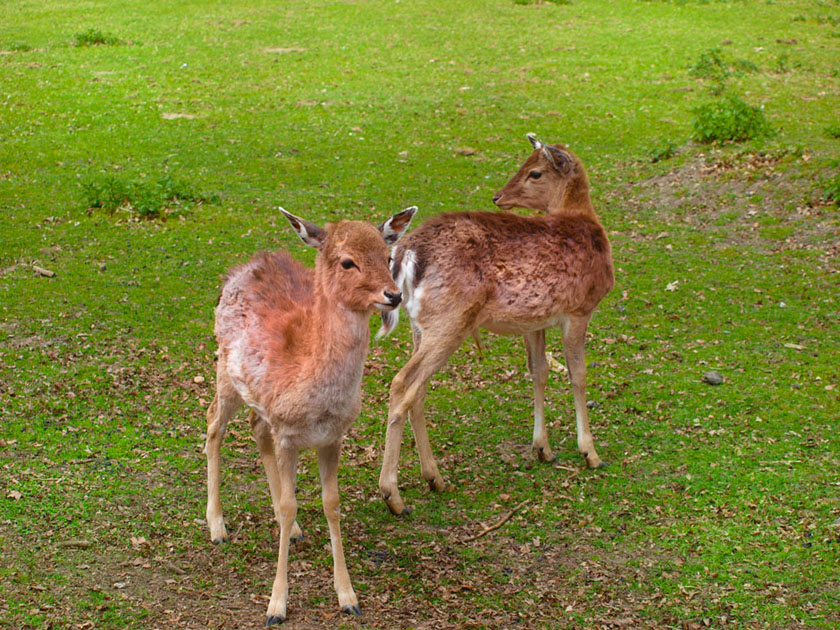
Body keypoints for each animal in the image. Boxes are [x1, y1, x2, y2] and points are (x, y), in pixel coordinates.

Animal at [203, 205, 414, 624]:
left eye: (387, 257)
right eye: (347, 261)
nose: (394, 295)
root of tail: (240, 268)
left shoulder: (332, 436)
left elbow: (331, 504)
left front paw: (348, 596)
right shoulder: (288, 433)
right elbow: (289, 504)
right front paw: (276, 605)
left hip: (258, 401)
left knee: (255, 427)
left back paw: (295, 529)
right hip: (224, 371)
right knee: (212, 421)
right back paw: (217, 525)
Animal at [378, 135, 612, 520]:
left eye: (533, 171)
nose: (498, 197)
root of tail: (406, 255)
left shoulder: (536, 320)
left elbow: (539, 371)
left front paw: (543, 449)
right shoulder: (579, 309)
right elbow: (578, 374)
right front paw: (590, 453)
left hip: (418, 324)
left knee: (418, 390)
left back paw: (434, 477)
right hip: (449, 319)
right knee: (401, 384)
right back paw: (393, 496)